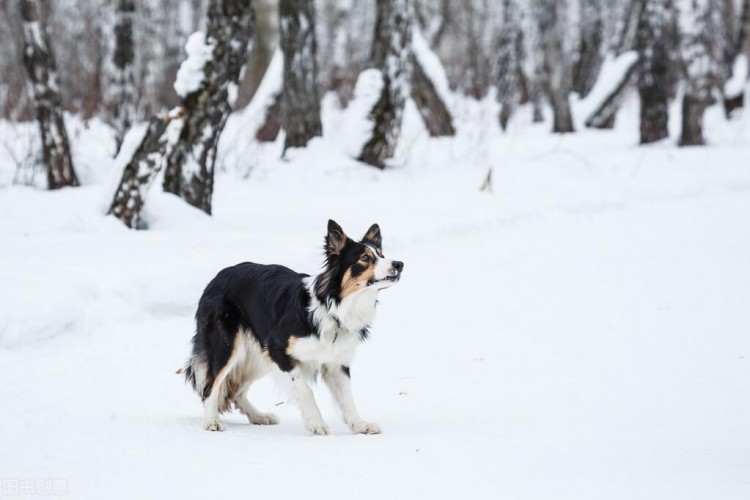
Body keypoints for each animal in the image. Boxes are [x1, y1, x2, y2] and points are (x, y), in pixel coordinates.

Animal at [183, 220, 406, 434]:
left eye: (382, 254)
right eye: (365, 258)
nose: (399, 264)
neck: (334, 307)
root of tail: (216, 278)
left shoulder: (336, 362)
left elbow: (347, 397)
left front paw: (359, 424)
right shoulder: (279, 349)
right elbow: (305, 390)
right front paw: (316, 423)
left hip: (258, 355)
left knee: (236, 390)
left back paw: (259, 417)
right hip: (227, 345)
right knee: (211, 385)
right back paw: (211, 421)